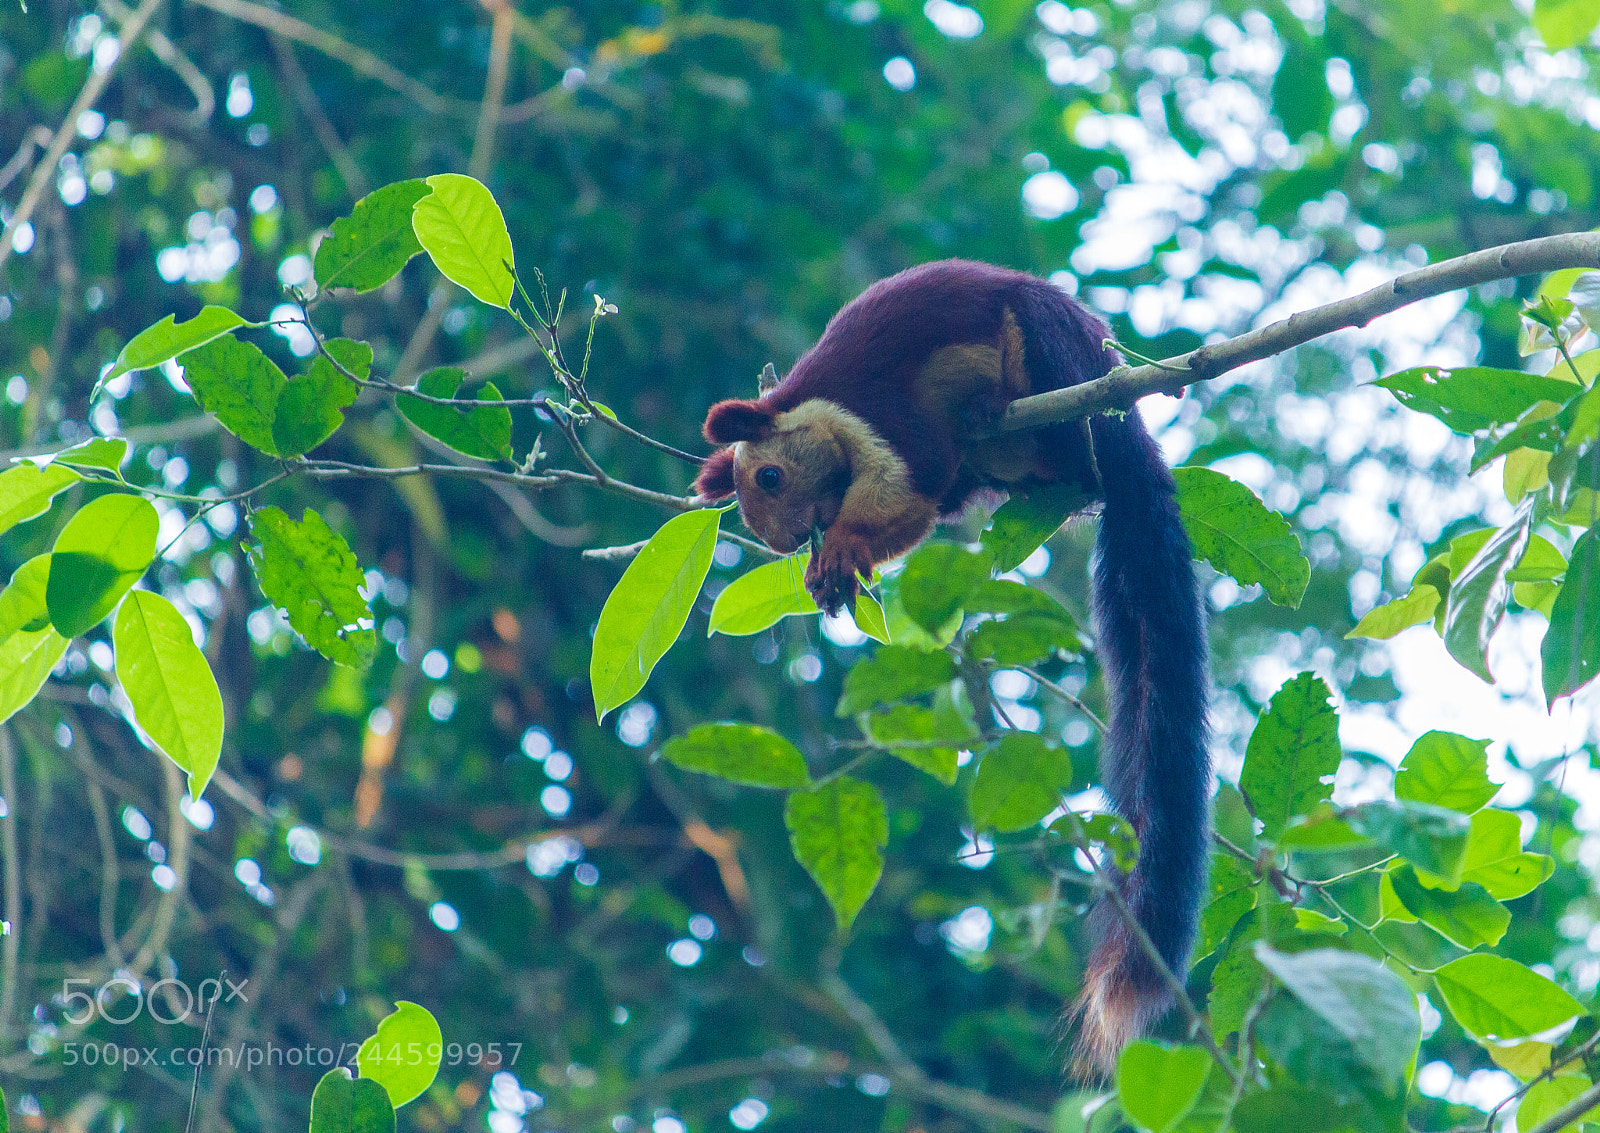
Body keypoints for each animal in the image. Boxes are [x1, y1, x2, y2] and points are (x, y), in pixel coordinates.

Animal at [692, 259, 1210, 1074]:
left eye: (768, 478)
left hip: (1059, 355)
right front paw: (831, 568)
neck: (817, 409)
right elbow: (929, 504)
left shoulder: (880, 416)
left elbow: (916, 481)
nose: (784, 541)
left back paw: (1009, 406)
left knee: (1070, 435)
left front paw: (843, 549)